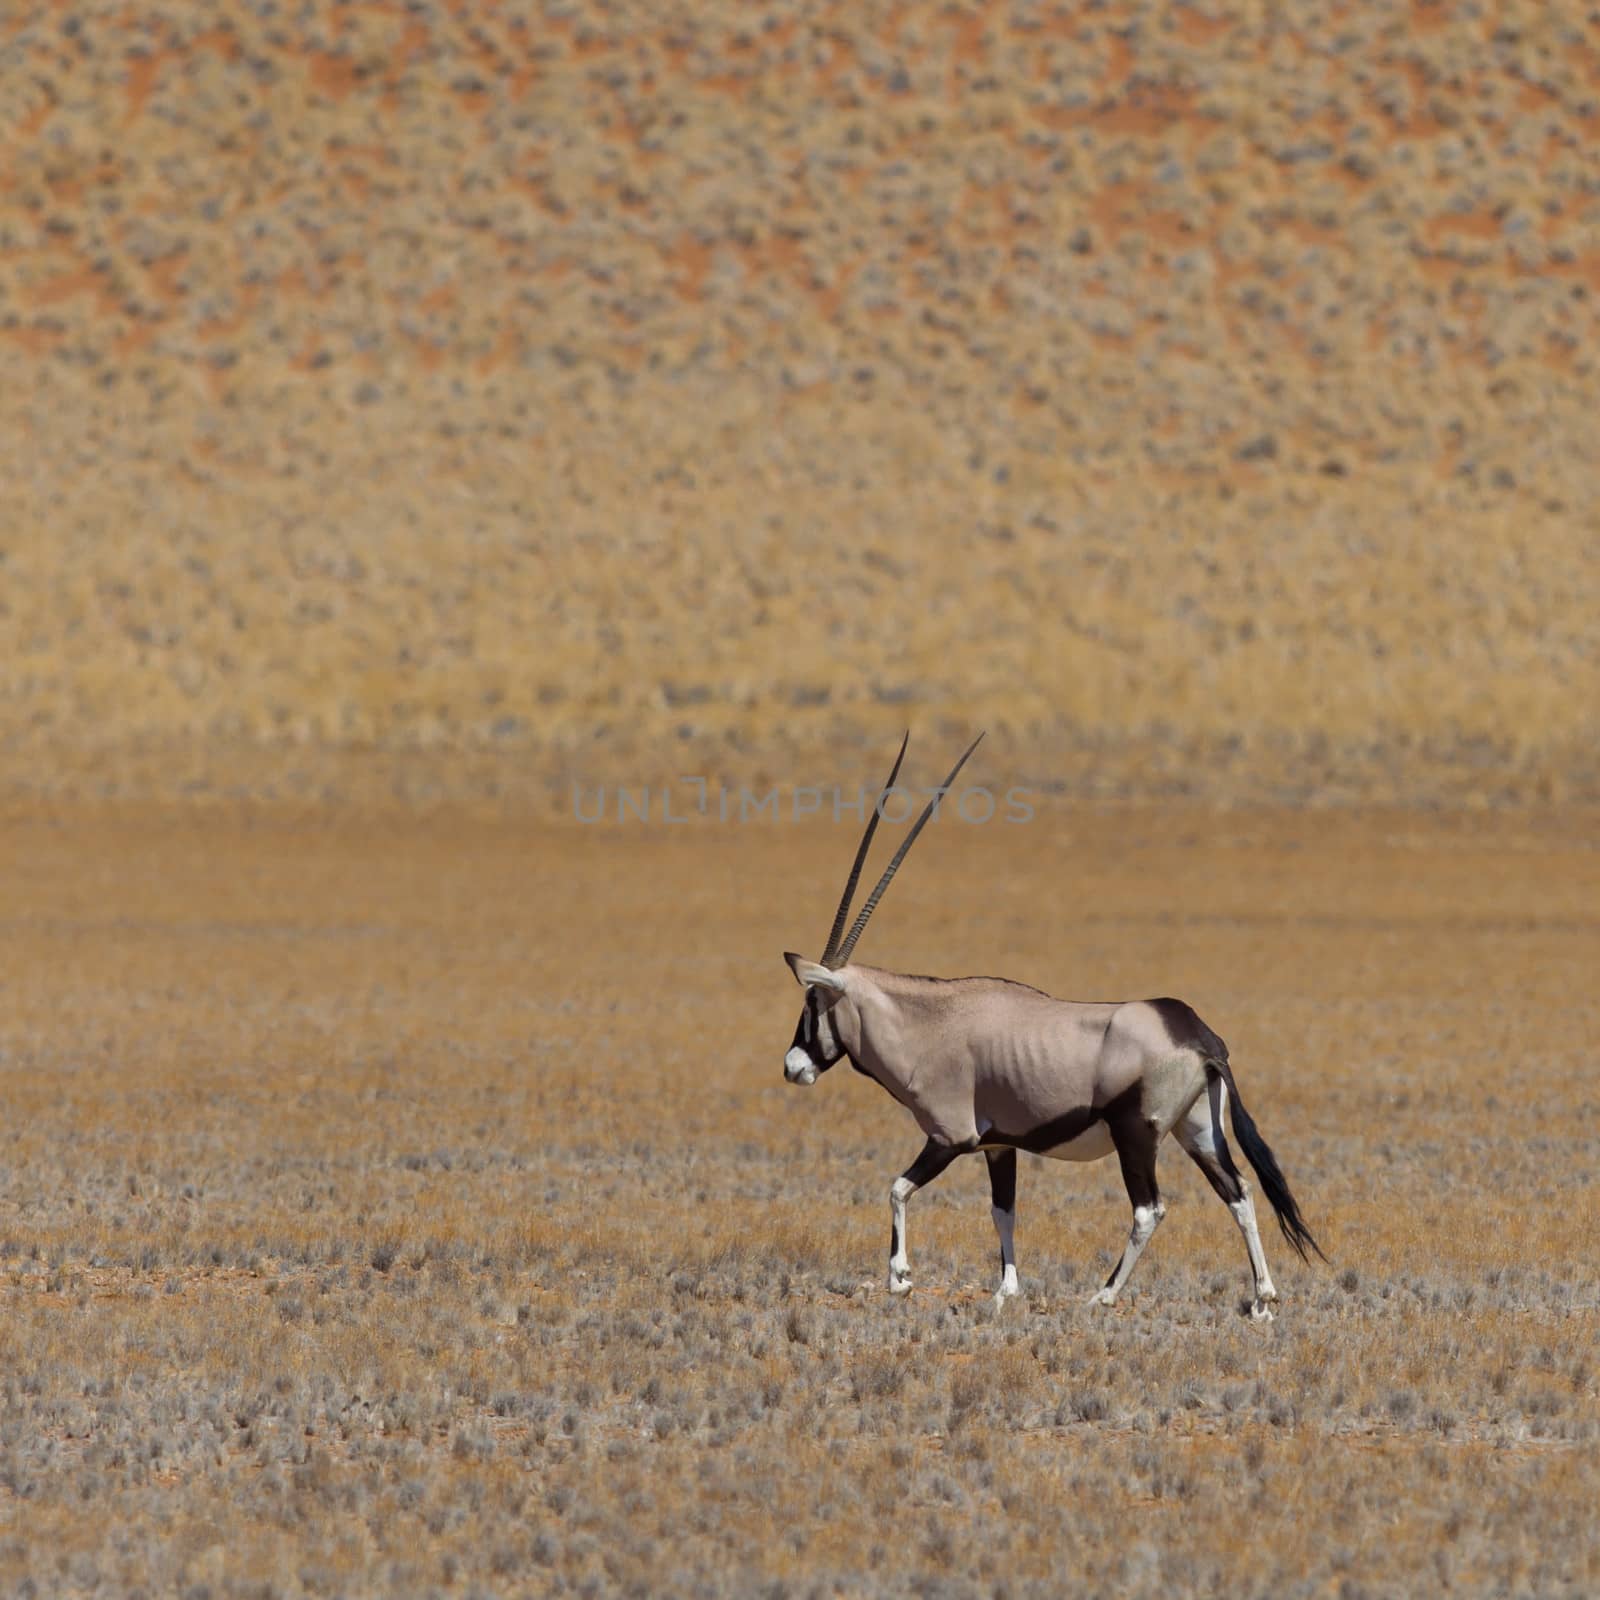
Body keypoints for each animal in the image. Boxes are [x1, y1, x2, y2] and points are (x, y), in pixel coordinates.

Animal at [784, 732, 1324, 1318]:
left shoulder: (950, 1136)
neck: (928, 1025)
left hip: (1138, 1134)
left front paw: (900, 1278)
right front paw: (1006, 1290)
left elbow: (898, 1188)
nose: (793, 1067)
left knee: (1150, 1208)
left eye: (813, 1001)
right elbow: (1003, 1209)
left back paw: (1104, 1294)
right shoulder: (999, 1145)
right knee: (1239, 1191)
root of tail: (1199, 1037)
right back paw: (1263, 1297)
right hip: (1196, 1129)